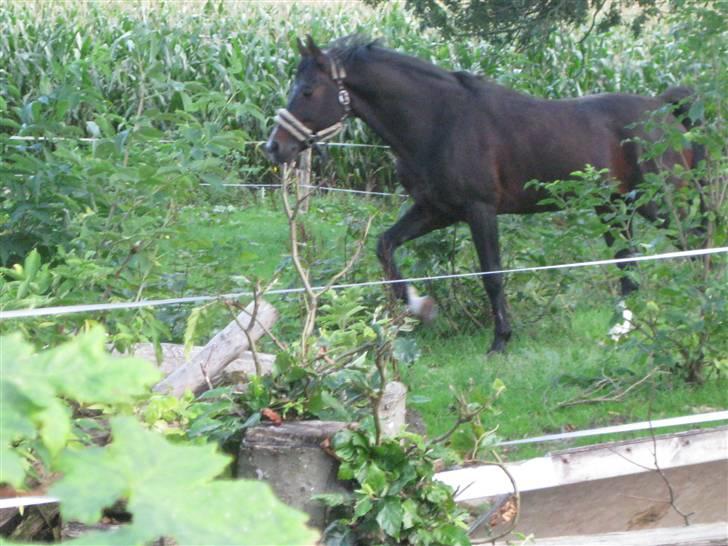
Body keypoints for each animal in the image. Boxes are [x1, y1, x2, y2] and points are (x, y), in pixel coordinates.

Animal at [265, 35, 701, 354]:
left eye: (307, 91)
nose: (275, 146)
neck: (440, 122)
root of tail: (663, 109)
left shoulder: (480, 210)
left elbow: (492, 275)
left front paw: (500, 341)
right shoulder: (435, 209)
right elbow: (385, 247)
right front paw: (418, 309)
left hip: (658, 204)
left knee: (693, 242)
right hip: (612, 206)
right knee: (630, 270)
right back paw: (620, 331)